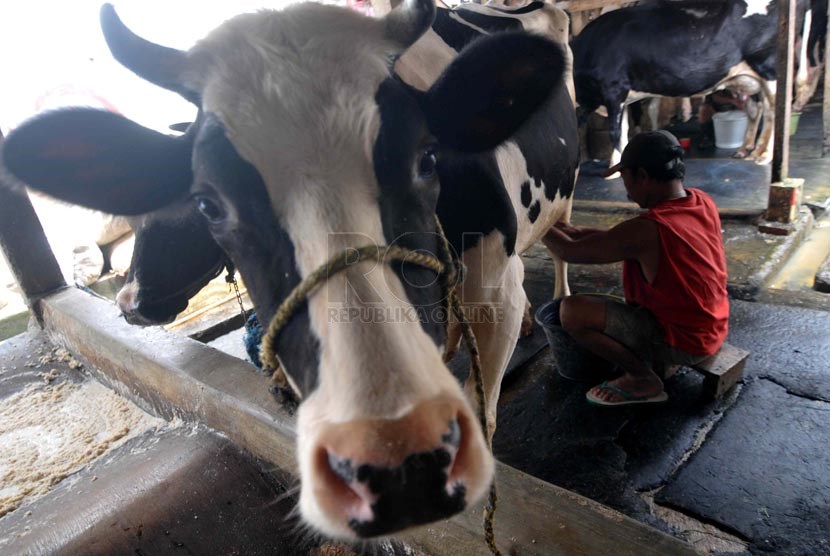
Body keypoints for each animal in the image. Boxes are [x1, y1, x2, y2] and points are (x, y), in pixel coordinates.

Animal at [1, 0, 580, 540]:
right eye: (208, 202)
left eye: (427, 158)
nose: (128, 301)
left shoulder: (498, 288)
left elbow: (487, 411)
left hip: (562, 205)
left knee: (562, 249)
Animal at [576, 0, 808, 166]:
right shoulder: (621, 96)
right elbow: (623, 130)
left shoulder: (614, 88)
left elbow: (615, 132)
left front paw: (614, 169)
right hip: (748, 78)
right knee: (759, 110)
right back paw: (749, 150)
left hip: (769, 68)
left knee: (776, 111)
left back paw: (765, 155)